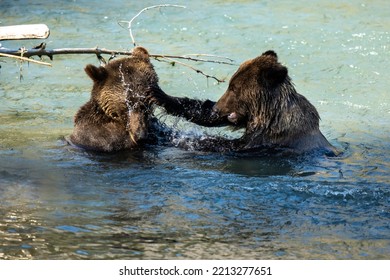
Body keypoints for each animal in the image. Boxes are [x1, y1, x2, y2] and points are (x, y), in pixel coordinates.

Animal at [149, 50, 338, 155]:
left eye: (234, 88)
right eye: (230, 85)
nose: (217, 108)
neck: (268, 116)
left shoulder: (267, 140)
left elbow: (230, 146)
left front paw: (185, 140)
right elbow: (203, 113)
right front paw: (158, 93)